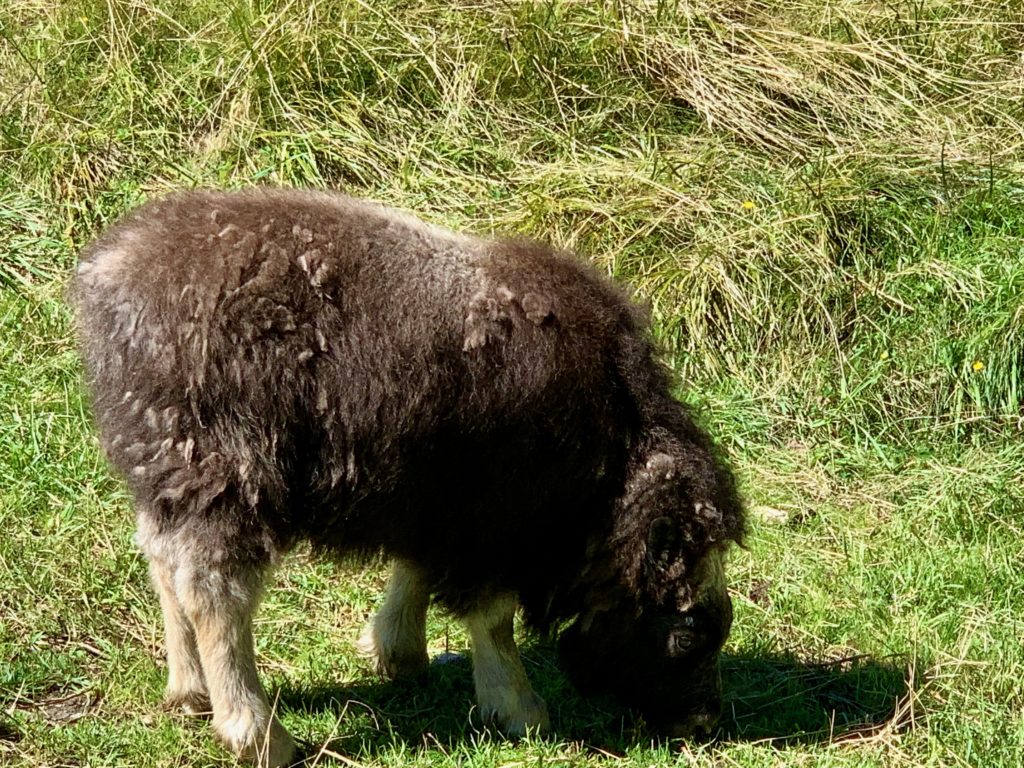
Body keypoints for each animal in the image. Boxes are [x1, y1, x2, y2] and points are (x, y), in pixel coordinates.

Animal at [72, 189, 745, 765]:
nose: (703, 723)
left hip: (165, 470)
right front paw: (521, 710)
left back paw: (189, 694)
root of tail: (108, 277)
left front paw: (398, 654)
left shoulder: (428, 501)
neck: (612, 452)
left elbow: (414, 573)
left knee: (164, 565)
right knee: (216, 592)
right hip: (229, 476)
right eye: (687, 631)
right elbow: (493, 617)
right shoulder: (493, 522)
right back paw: (261, 736)